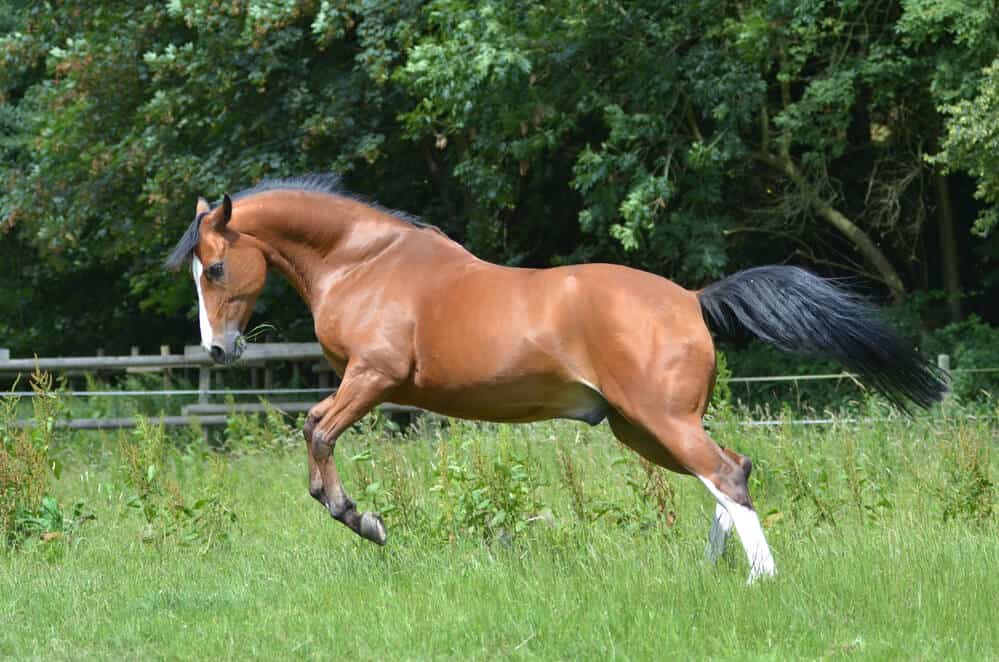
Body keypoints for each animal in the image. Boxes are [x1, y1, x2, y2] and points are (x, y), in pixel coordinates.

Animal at [166, 174, 946, 582]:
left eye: (215, 268)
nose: (218, 351)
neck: (365, 261)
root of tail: (691, 298)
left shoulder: (374, 379)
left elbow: (316, 430)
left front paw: (362, 520)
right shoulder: (371, 386)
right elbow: (317, 431)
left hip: (660, 422)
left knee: (726, 474)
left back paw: (760, 577)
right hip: (640, 429)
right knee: (731, 470)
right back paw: (711, 568)